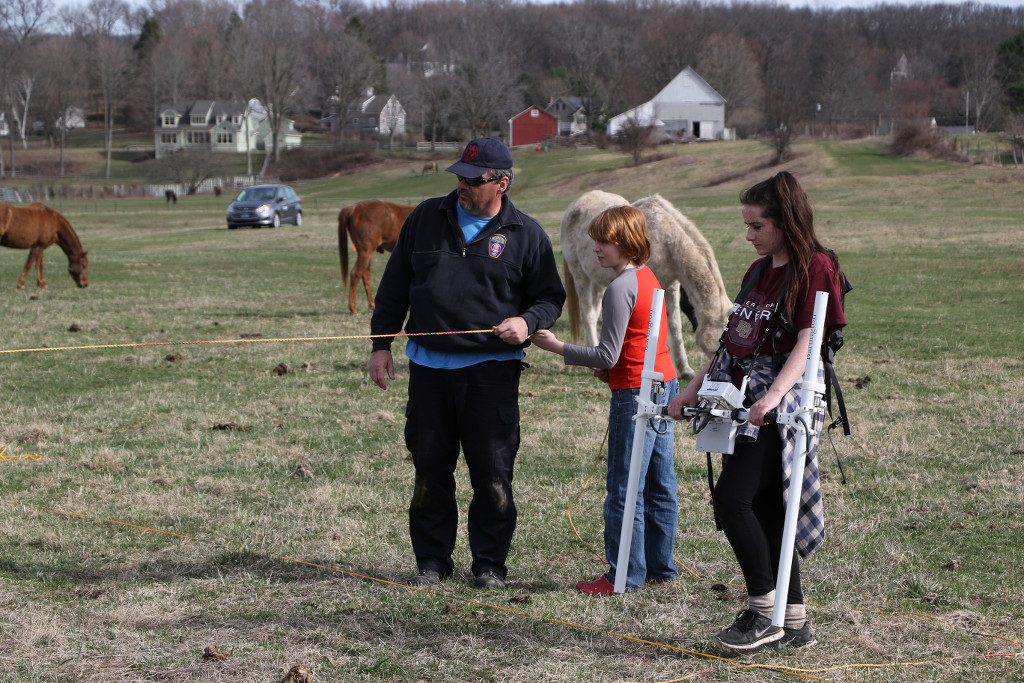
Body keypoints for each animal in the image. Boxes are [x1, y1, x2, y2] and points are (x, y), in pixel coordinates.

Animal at [561, 189, 737, 378]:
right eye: (719, 346)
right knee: (587, 314)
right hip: (580, 275)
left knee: (593, 314)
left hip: (598, 280)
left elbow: (674, 325)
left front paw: (684, 369)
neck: (666, 238)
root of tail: (575, 206)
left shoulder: (671, 287)